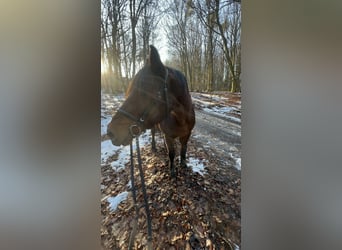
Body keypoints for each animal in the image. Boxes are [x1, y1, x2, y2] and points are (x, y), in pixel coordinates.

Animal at [108, 45, 196, 178]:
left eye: (144, 92)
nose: (111, 132)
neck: (181, 118)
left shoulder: (187, 134)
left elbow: (183, 149)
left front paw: (183, 164)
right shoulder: (168, 136)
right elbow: (171, 153)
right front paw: (172, 171)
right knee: (154, 133)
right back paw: (154, 147)